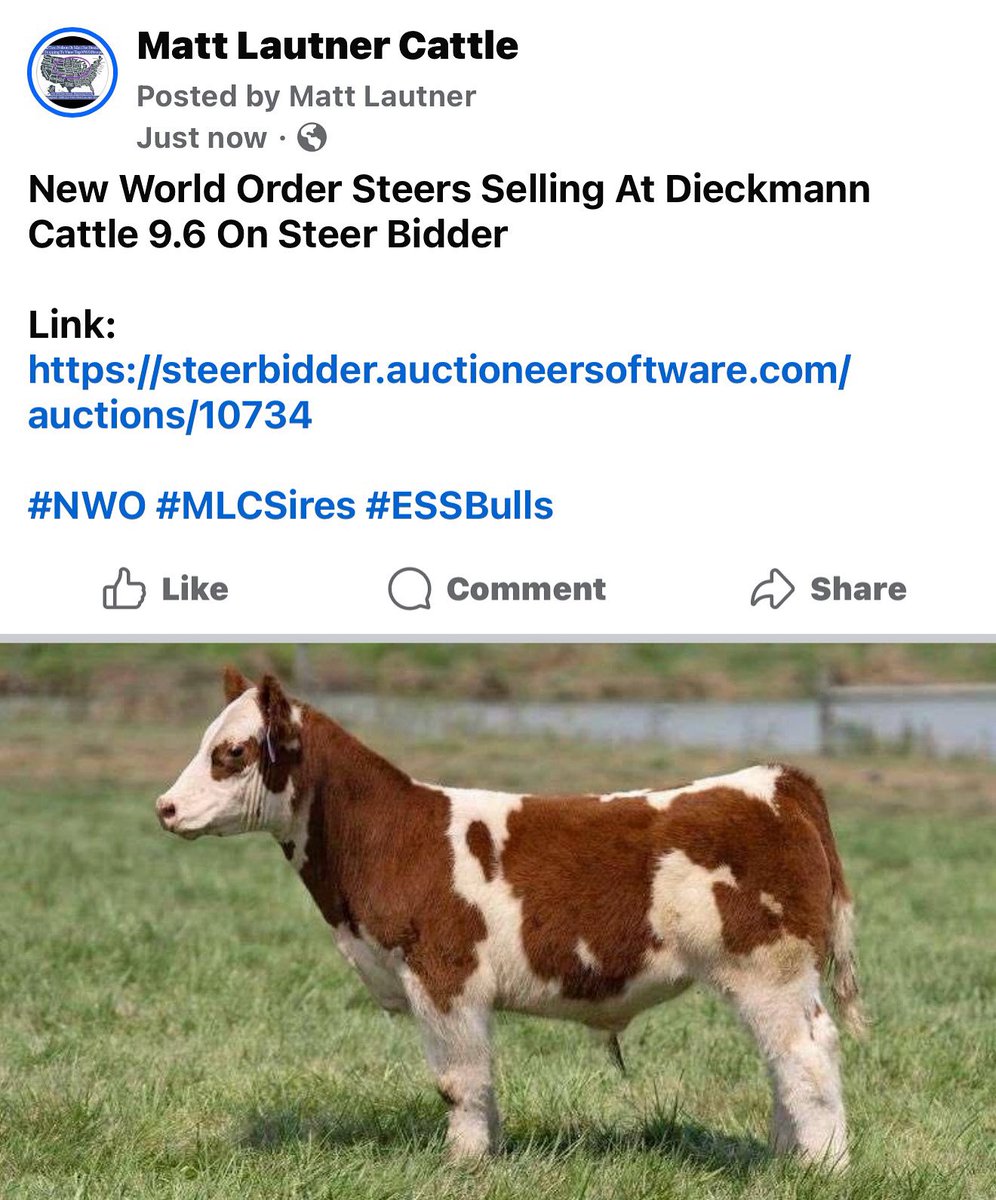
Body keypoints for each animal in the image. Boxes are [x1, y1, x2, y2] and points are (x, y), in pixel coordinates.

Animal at [156, 670, 866, 1169]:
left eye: (232, 751)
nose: (165, 807)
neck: (389, 838)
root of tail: (776, 779)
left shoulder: (443, 976)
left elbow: (458, 1081)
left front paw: (462, 1164)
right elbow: (474, 1081)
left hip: (769, 967)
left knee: (806, 1052)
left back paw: (822, 1168)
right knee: (782, 1058)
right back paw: (788, 1156)